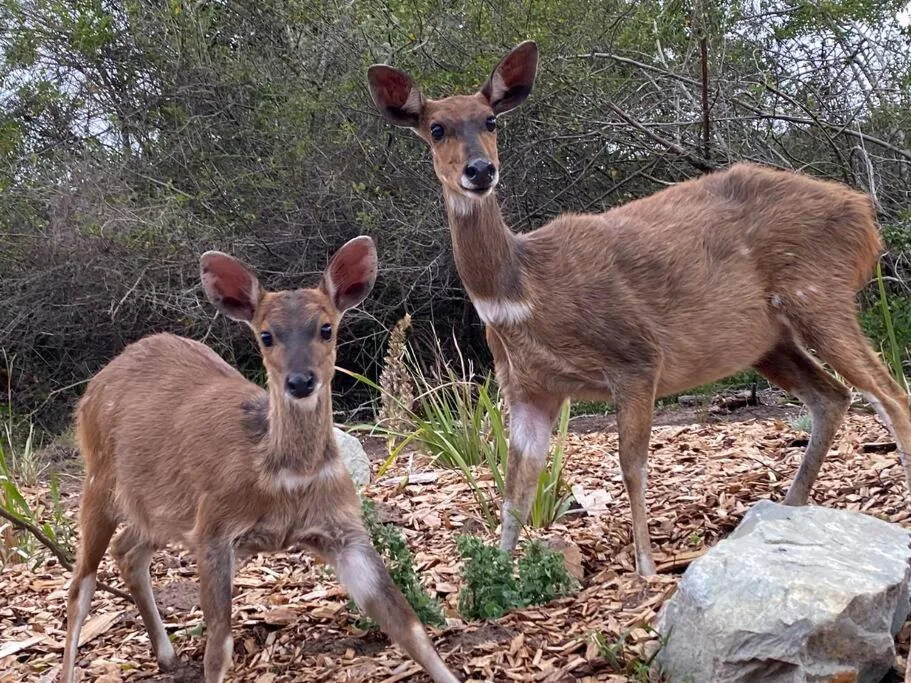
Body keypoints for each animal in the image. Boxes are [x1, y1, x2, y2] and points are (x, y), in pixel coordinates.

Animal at [60, 237, 459, 683]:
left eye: (326, 328)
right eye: (266, 335)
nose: (300, 381)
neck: (283, 476)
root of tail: (95, 385)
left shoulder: (342, 527)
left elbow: (405, 622)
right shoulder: (214, 528)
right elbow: (219, 646)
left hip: (160, 509)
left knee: (128, 551)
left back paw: (167, 656)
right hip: (99, 480)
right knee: (80, 587)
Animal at [367, 41, 911, 576]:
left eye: (491, 120)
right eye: (436, 128)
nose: (480, 170)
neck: (523, 292)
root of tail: (865, 217)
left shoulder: (634, 357)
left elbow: (632, 466)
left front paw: (646, 569)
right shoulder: (527, 389)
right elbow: (515, 494)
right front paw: (492, 579)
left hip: (819, 294)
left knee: (890, 394)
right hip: (769, 340)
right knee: (833, 397)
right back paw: (784, 511)